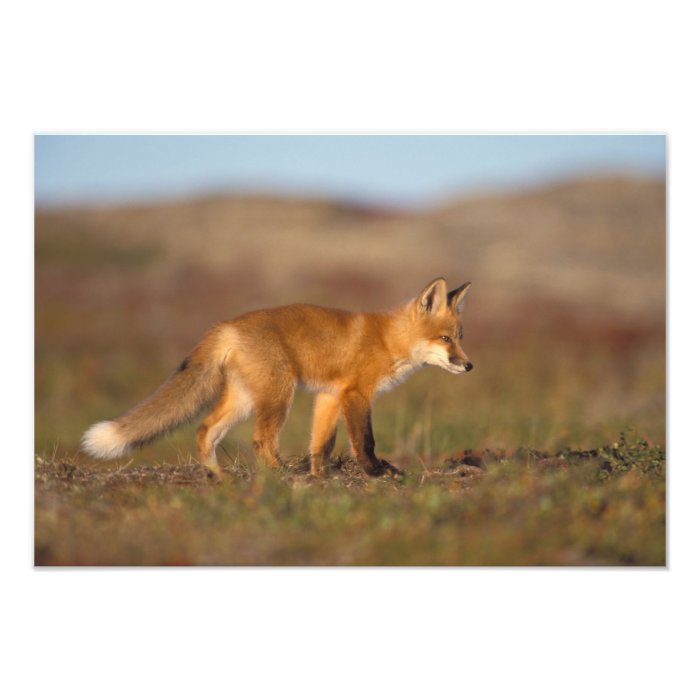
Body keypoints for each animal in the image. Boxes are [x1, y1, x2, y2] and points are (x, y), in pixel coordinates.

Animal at [83, 278, 476, 476]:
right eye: (445, 339)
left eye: (460, 337)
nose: (469, 365)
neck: (388, 340)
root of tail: (226, 325)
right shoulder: (356, 394)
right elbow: (365, 440)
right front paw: (376, 472)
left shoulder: (330, 395)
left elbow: (322, 443)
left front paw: (320, 476)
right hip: (278, 396)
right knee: (260, 440)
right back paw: (278, 473)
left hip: (244, 399)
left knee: (205, 429)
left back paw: (217, 476)